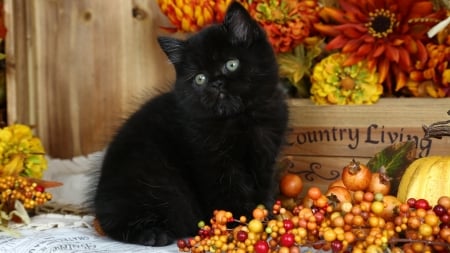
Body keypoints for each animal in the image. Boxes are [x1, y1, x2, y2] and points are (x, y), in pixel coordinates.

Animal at [92, 1, 288, 246]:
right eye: (200, 78)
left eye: (231, 64)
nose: (216, 83)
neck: (240, 120)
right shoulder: (213, 163)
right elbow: (229, 193)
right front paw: (239, 225)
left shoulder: (265, 156)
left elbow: (263, 189)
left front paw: (264, 219)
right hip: (155, 181)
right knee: (117, 223)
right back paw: (153, 234)